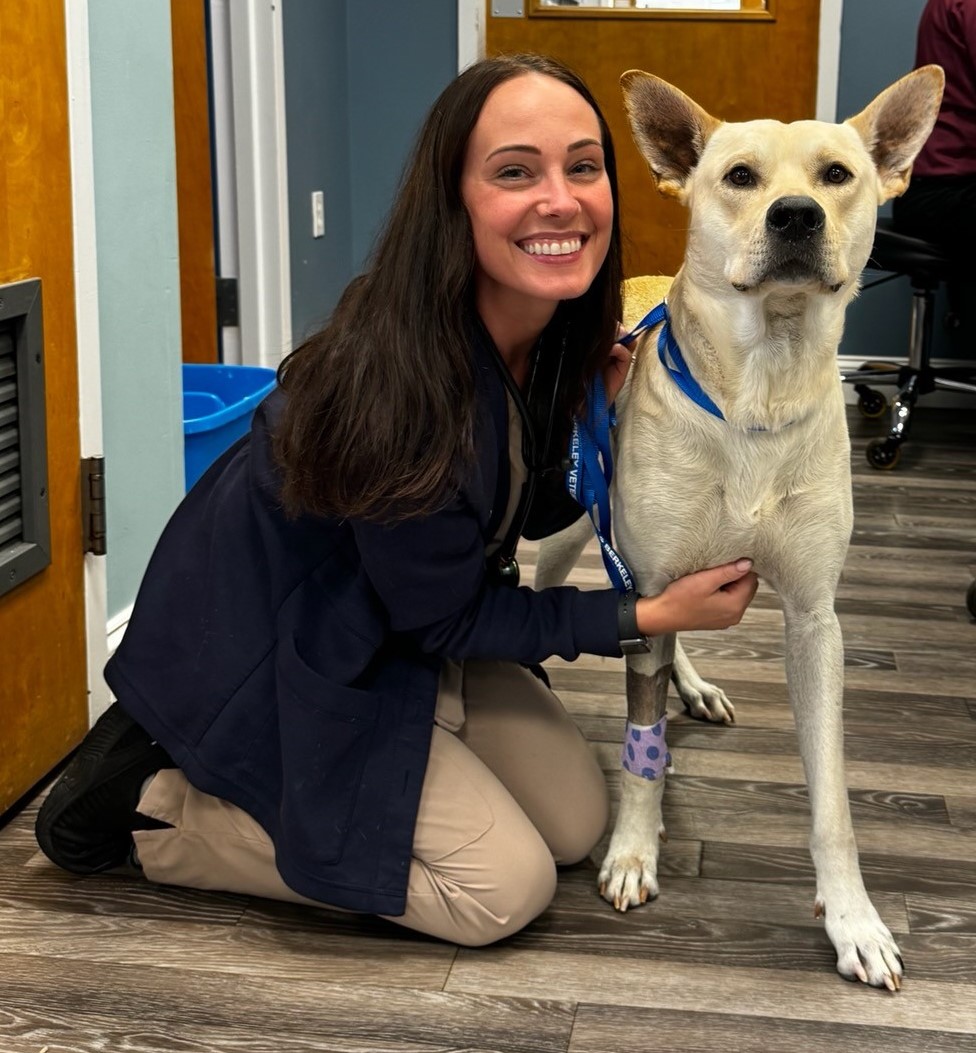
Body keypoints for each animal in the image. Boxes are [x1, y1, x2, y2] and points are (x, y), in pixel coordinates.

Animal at [539, 65, 943, 985]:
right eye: (740, 177)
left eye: (837, 174)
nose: (796, 216)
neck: (761, 387)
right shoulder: (648, 581)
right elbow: (641, 747)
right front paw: (633, 851)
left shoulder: (813, 620)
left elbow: (832, 797)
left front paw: (855, 919)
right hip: (573, 524)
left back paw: (693, 683)